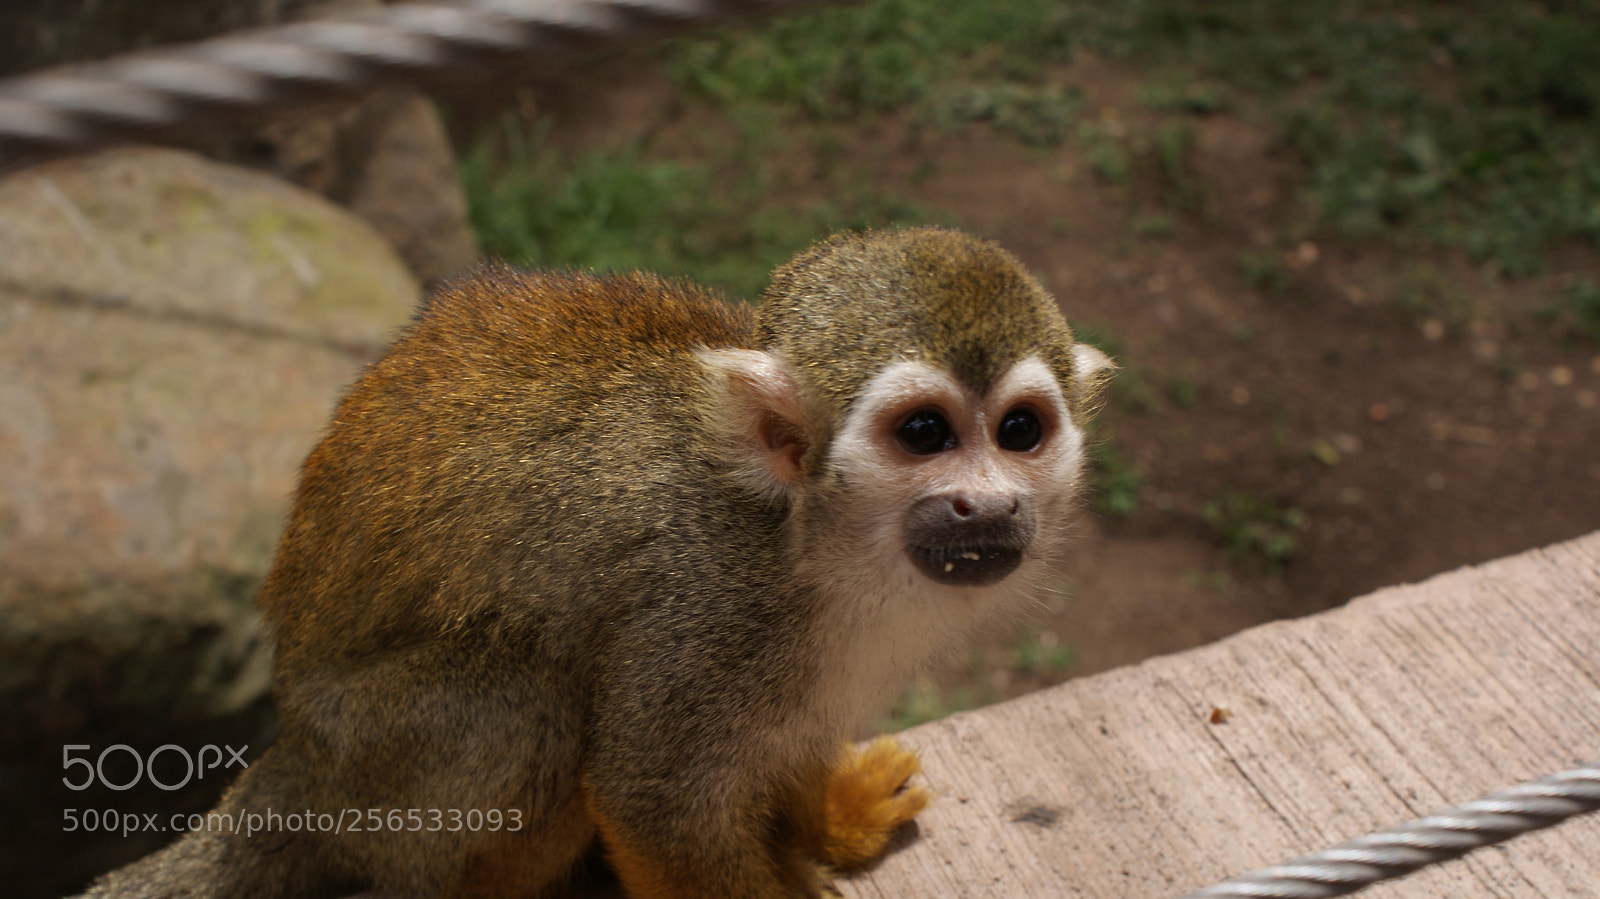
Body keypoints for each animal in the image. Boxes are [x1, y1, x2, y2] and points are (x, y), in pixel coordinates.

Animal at [79, 226, 1112, 899]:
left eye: (1019, 431)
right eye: (925, 434)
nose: (987, 503)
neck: (810, 542)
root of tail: (295, 749)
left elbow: (789, 735)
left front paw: (827, 816)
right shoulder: (704, 607)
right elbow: (653, 801)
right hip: (369, 760)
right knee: (527, 702)